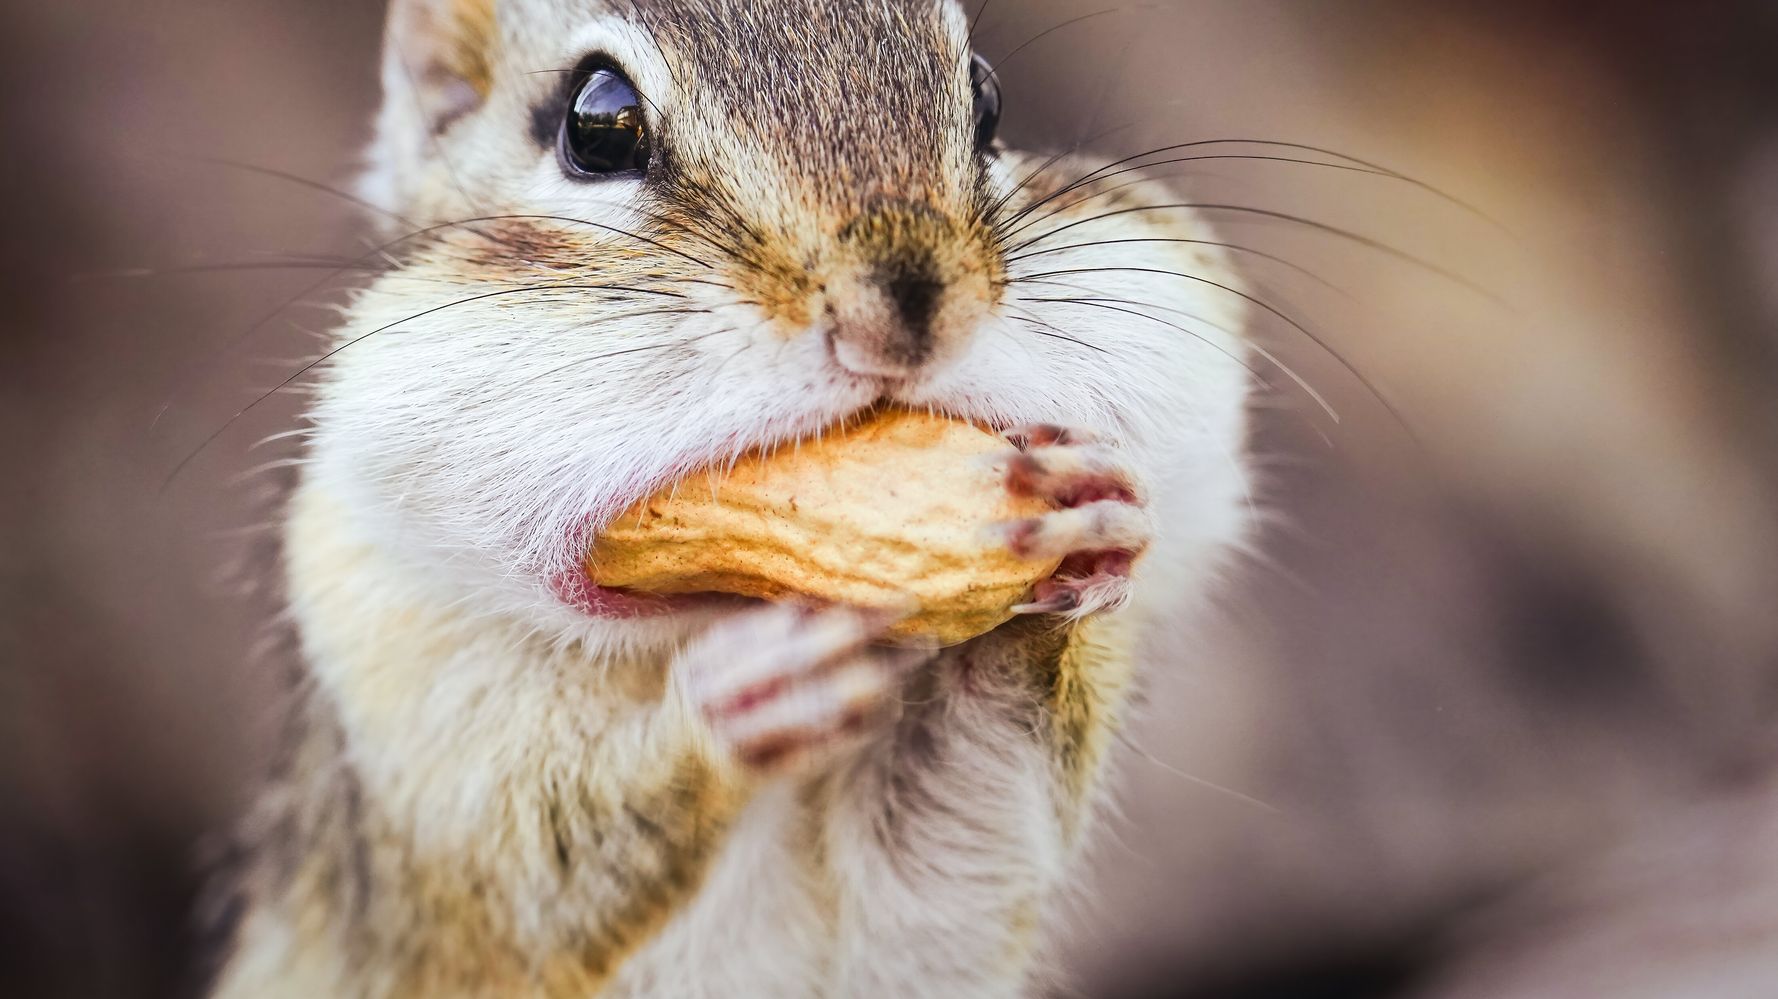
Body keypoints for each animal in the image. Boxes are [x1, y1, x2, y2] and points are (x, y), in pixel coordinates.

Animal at [204, 1, 1251, 995]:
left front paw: (1080, 528)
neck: (700, 613)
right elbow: (545, 880)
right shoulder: (415, 723)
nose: (903, 313)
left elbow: (959, 860)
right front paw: (738, 696)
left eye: (988, 97)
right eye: (598, 123)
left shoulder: (919, 932)